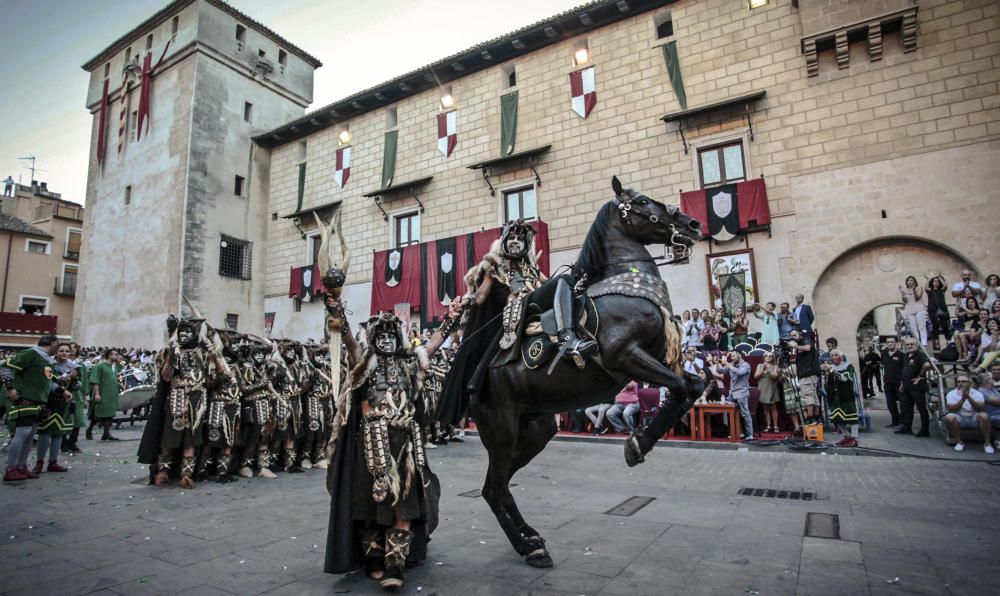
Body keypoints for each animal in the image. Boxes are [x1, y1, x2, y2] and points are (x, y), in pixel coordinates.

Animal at [472, 177, 708, 568]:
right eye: (642, 202)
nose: (692, 224)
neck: (625, 284)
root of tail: (479, 377)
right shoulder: (624, 355)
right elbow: (681, 387)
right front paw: (638, 444)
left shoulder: (657, 358)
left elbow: (692, 385)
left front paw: (640, 440)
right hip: (501, 431)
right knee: (492, 489)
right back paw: (528, 547)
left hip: (535, 429)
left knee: (502, 486)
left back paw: (531, 538)